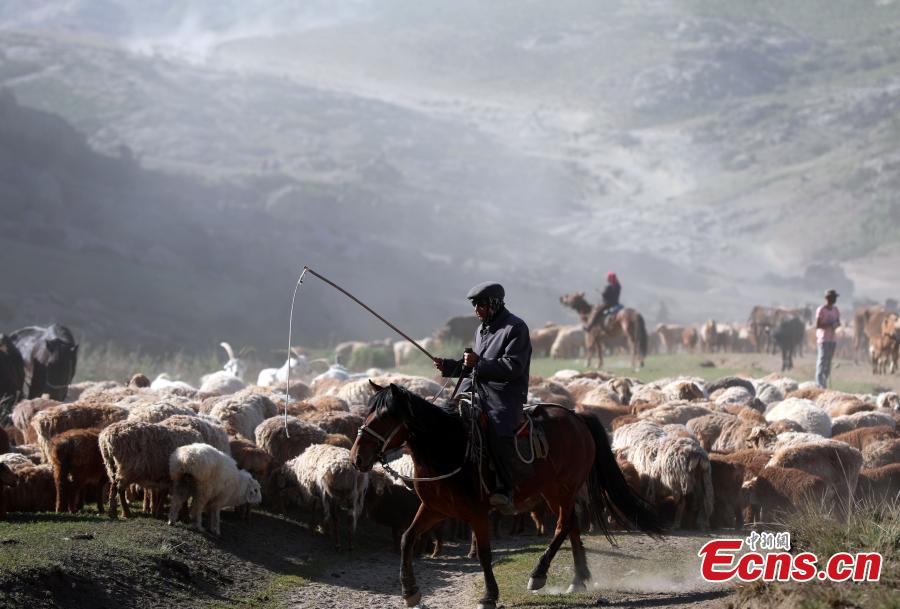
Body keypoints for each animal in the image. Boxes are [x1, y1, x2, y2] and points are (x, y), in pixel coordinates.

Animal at [350, 382, 660, 604]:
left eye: (384, 416)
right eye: (367, 412)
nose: (357, 457)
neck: (448, 448)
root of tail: (576, 417)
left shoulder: (476, 512)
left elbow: (485, 553)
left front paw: (490, 595)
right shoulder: (434, 509)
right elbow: (407, 539)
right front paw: (410, 591)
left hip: (564, 488)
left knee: (563, 526)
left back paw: (539, 574)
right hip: (554, 492)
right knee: (570, 525)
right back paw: (578, 579)